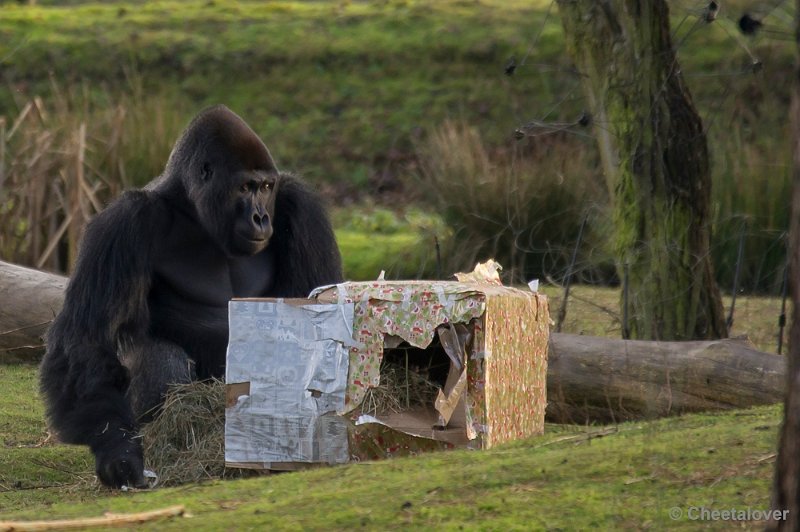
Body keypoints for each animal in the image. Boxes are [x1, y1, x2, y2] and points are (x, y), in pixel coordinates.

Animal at [40, 105, 340, 490]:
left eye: (266, 187)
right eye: (245, 187)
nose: (261, 218)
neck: (190, 208)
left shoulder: (299, 205)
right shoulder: (123, 223)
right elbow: (85, 339)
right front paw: (117, 450)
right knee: (159, 357)